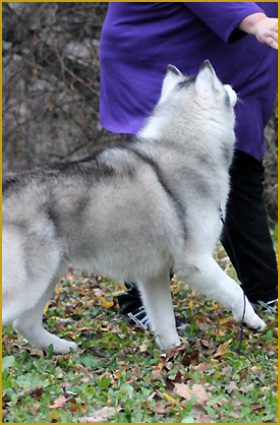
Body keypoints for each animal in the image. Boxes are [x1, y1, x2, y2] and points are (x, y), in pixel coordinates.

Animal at [2, 61, 264, 352]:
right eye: (221, 85)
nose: (234, 87)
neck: (182, 148)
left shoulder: (154, 273)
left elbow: (165, 319)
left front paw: (173, 352)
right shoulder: (196, 262)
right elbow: (235, 289)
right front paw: (252, 319)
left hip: (48, 276)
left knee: (25, 324)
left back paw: (61, 347)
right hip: (28, 286)